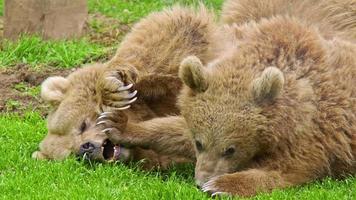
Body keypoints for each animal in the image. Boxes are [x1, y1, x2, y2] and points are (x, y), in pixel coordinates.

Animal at [32, 6, 217, 169]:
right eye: (73, 154)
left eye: (82, 125)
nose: (86, 148)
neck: (144, 111)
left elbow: (168, 34)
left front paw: (112, 87)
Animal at [103, 0, 356, 197]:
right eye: (199, 143)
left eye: (230, 149)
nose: (200, 181)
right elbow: (173, 129)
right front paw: (118, 124)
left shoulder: (314, 134)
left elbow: (289, 169)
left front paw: (221, 185)